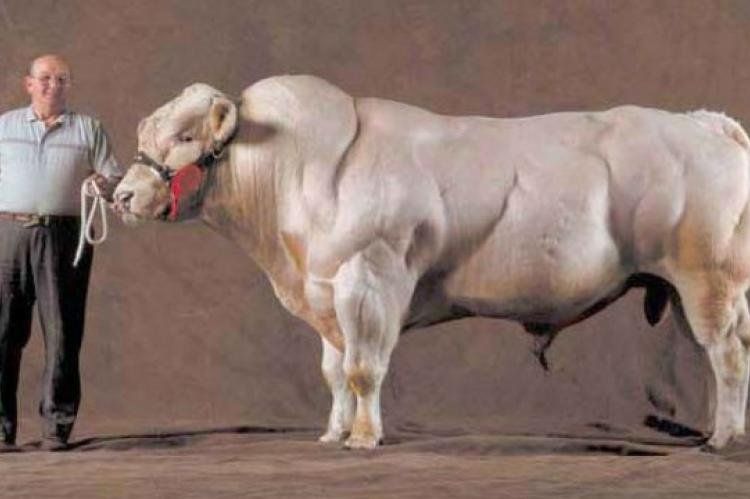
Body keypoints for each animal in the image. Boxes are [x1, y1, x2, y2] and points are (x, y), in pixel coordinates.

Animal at [113, 75, 750, 450]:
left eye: (184, 135)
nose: (121, 195)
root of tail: (701, 122)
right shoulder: (326, 294)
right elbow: (332, 372)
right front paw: (332, 433)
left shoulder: (368, 280)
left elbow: (363, 369)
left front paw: (364, 438)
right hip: (691, 290)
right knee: (715, 356)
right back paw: (722, 429)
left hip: (707, 278)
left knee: (727, 357)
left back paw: (721, 441)